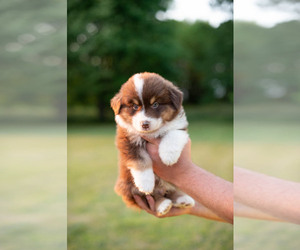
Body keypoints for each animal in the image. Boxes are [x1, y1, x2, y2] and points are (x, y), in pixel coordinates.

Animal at [110, 72, 195, 215]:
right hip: (130, 189)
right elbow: (140, 160)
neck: (152, 133)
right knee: (152, 197)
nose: (145, 124)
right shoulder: (128, 139)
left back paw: (183, 199)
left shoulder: (179, 127)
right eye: (135, 106)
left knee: (170, 191)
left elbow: (172, 135)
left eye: (155, 104)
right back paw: (163, 205)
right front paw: (145, 183)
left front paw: (168, 156)